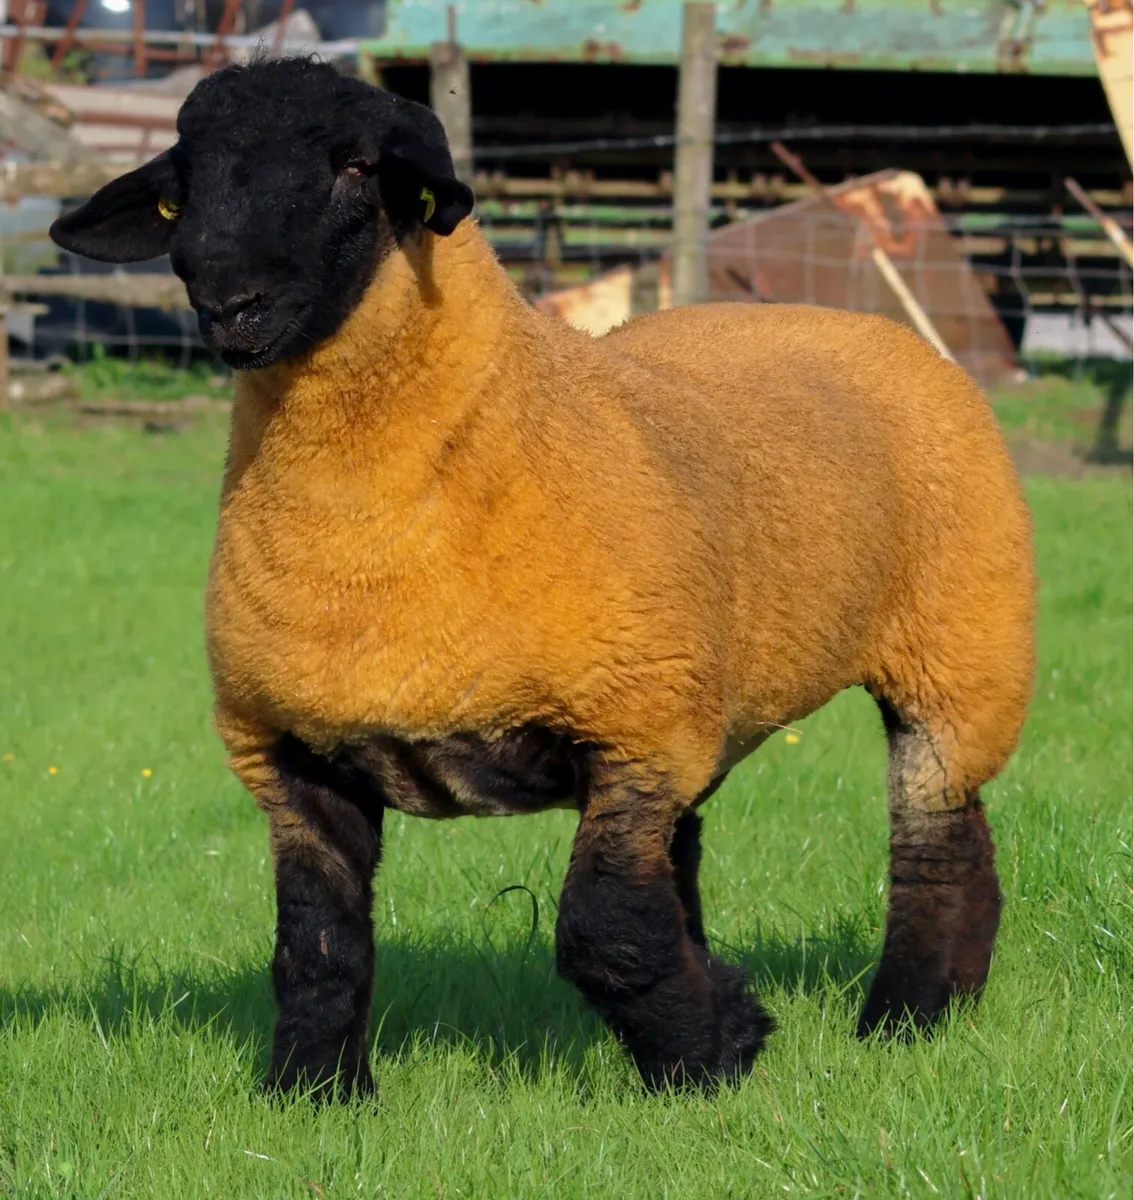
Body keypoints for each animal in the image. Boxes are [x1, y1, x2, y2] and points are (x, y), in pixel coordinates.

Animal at [50, 57, 1036, 1101]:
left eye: (356, 166)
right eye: (179, 188)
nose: (228, 301)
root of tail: (870, 325)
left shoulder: (633, 730)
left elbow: (604, 932)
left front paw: (719, 1054)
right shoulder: (290, 755)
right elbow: (318, 948)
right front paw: (315, 1096)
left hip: (960, 648)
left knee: (940, 843)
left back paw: (908, 1017)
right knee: (699, 862)